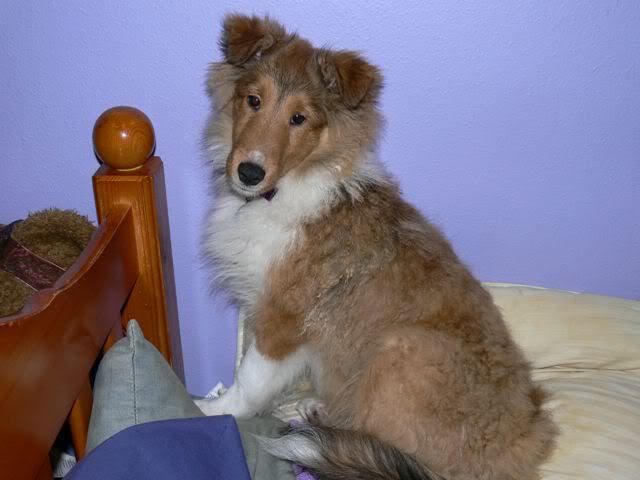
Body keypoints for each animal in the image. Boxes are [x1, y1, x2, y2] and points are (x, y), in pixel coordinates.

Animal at [196, 14, 557, 480]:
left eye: (299, 118)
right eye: (253, 100)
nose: (249, 172)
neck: (286, 187)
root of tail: (523, 447)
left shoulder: (282, 317)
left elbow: (249, 379)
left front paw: (210, 410)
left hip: (397, 349)